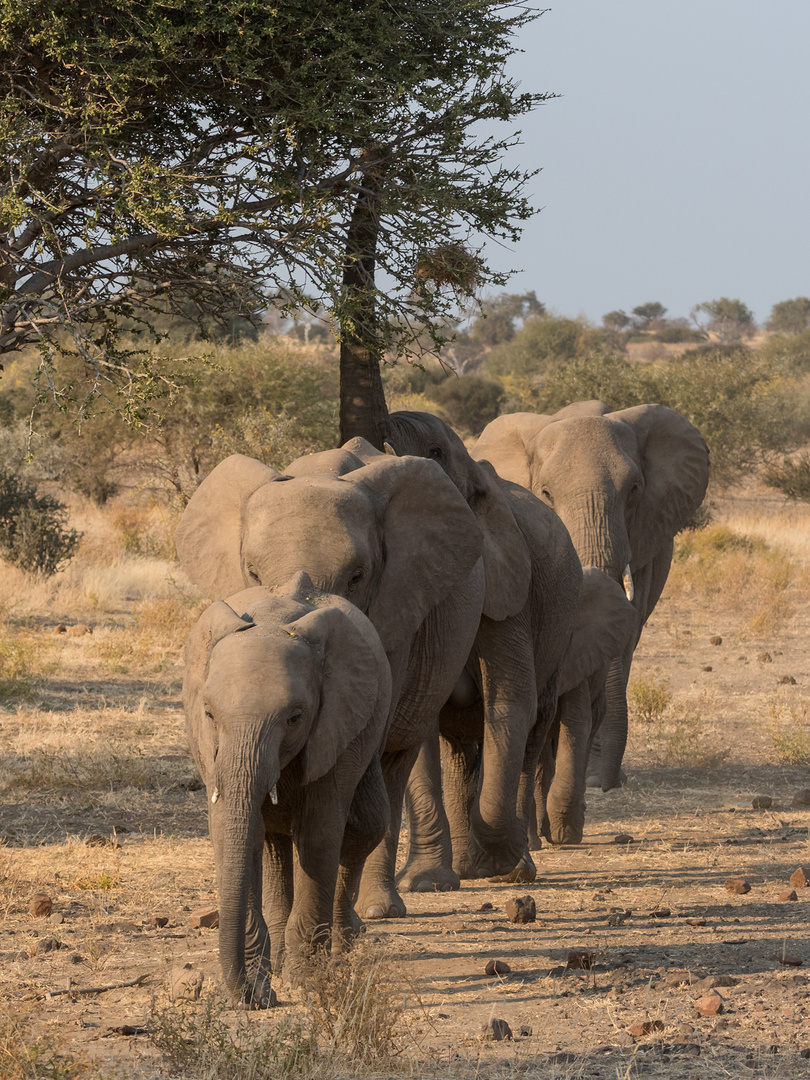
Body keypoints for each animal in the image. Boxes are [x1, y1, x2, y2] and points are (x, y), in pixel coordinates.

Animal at [187, 578, 397, 1006]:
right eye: (209, 714)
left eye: (295, 717)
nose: (256, 997)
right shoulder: (208, 749)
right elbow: (238, 834)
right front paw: (263, 981)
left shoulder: (336, 724)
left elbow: (318, 837)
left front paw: (305, 983)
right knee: (273, 841)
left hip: (374, 723)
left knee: (365, 826)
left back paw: (338, 955)